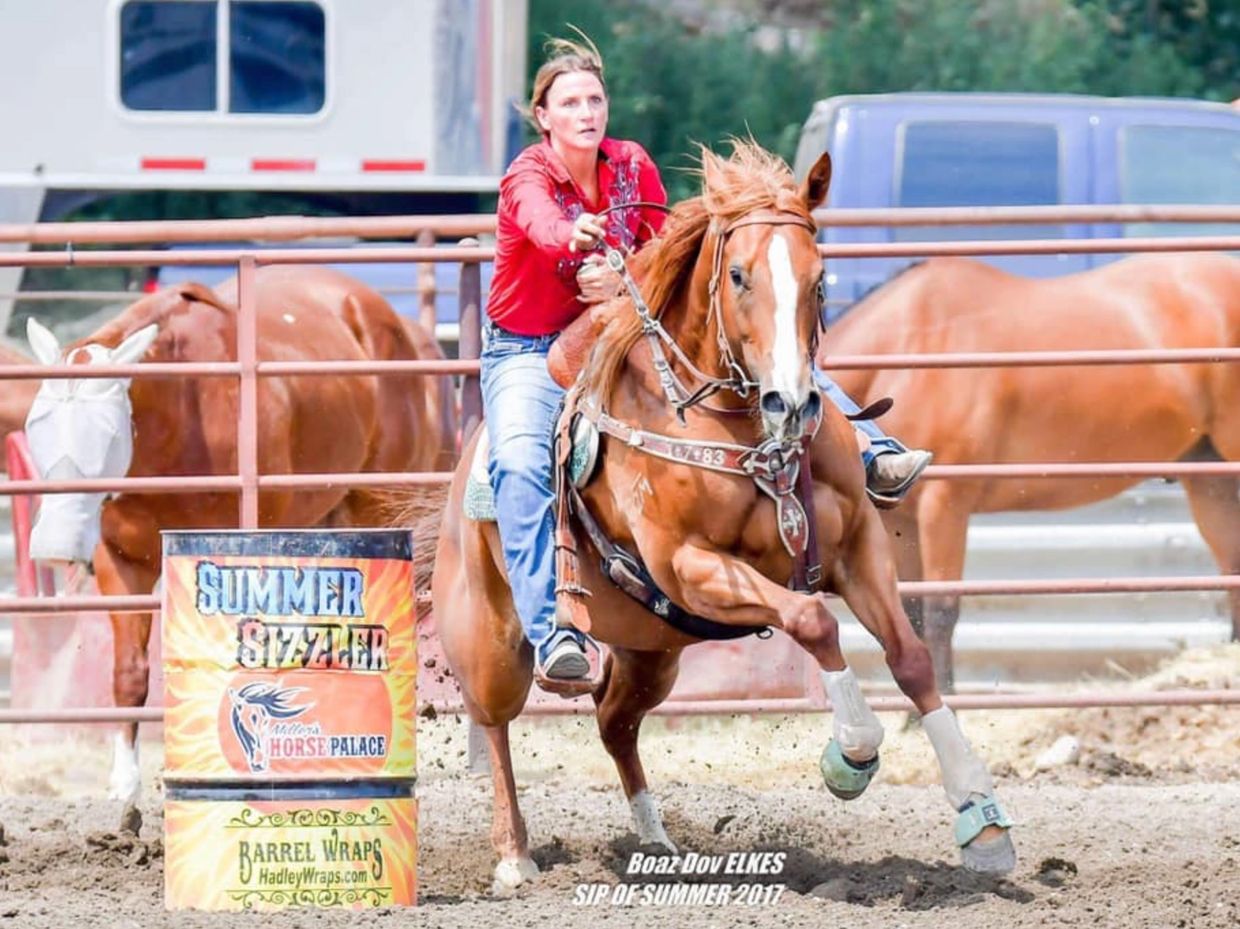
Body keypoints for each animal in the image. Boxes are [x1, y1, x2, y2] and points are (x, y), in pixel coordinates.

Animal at [22, 264, 456, 802]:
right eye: (37, 424)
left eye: (107, 434)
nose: (54, 545)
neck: (178, 414)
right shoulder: (121, 562)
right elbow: (128, 673)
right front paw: (125, 788)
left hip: (381, 510)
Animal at [426, 141, 1016, 893]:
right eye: (738, 275)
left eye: (819, 278)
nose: (791, 403)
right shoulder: (691, 564)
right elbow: (813, 620)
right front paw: (852, 754)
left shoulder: (856, 547)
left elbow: (911, 659)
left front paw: (982, 817)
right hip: (493, 641)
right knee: (496, 726)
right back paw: (514, 853)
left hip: (653, 651)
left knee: (615, 721)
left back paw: (656, 842)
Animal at [818, 253, 1240, 691]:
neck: (905, 350)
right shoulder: (901, 519)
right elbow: (910, 612)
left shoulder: (945, 504)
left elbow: (941, 610)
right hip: (1210, 477)